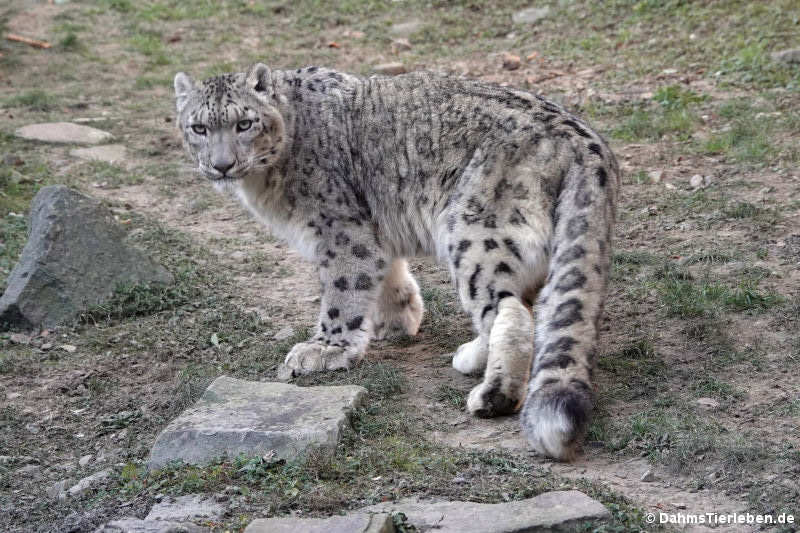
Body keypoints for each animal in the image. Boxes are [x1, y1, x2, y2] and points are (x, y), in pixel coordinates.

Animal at [173, 62, 620, 460]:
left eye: (244, 123)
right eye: (199, 128)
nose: (222, 164)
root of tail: (585, 142)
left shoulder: (339, 228)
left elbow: (344, 288)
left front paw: (326, 348)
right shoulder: (372, 230)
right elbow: (384, 272)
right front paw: (398, 319)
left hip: (473, 231)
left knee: (510, 312)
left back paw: (493, 397)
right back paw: (472, 357)